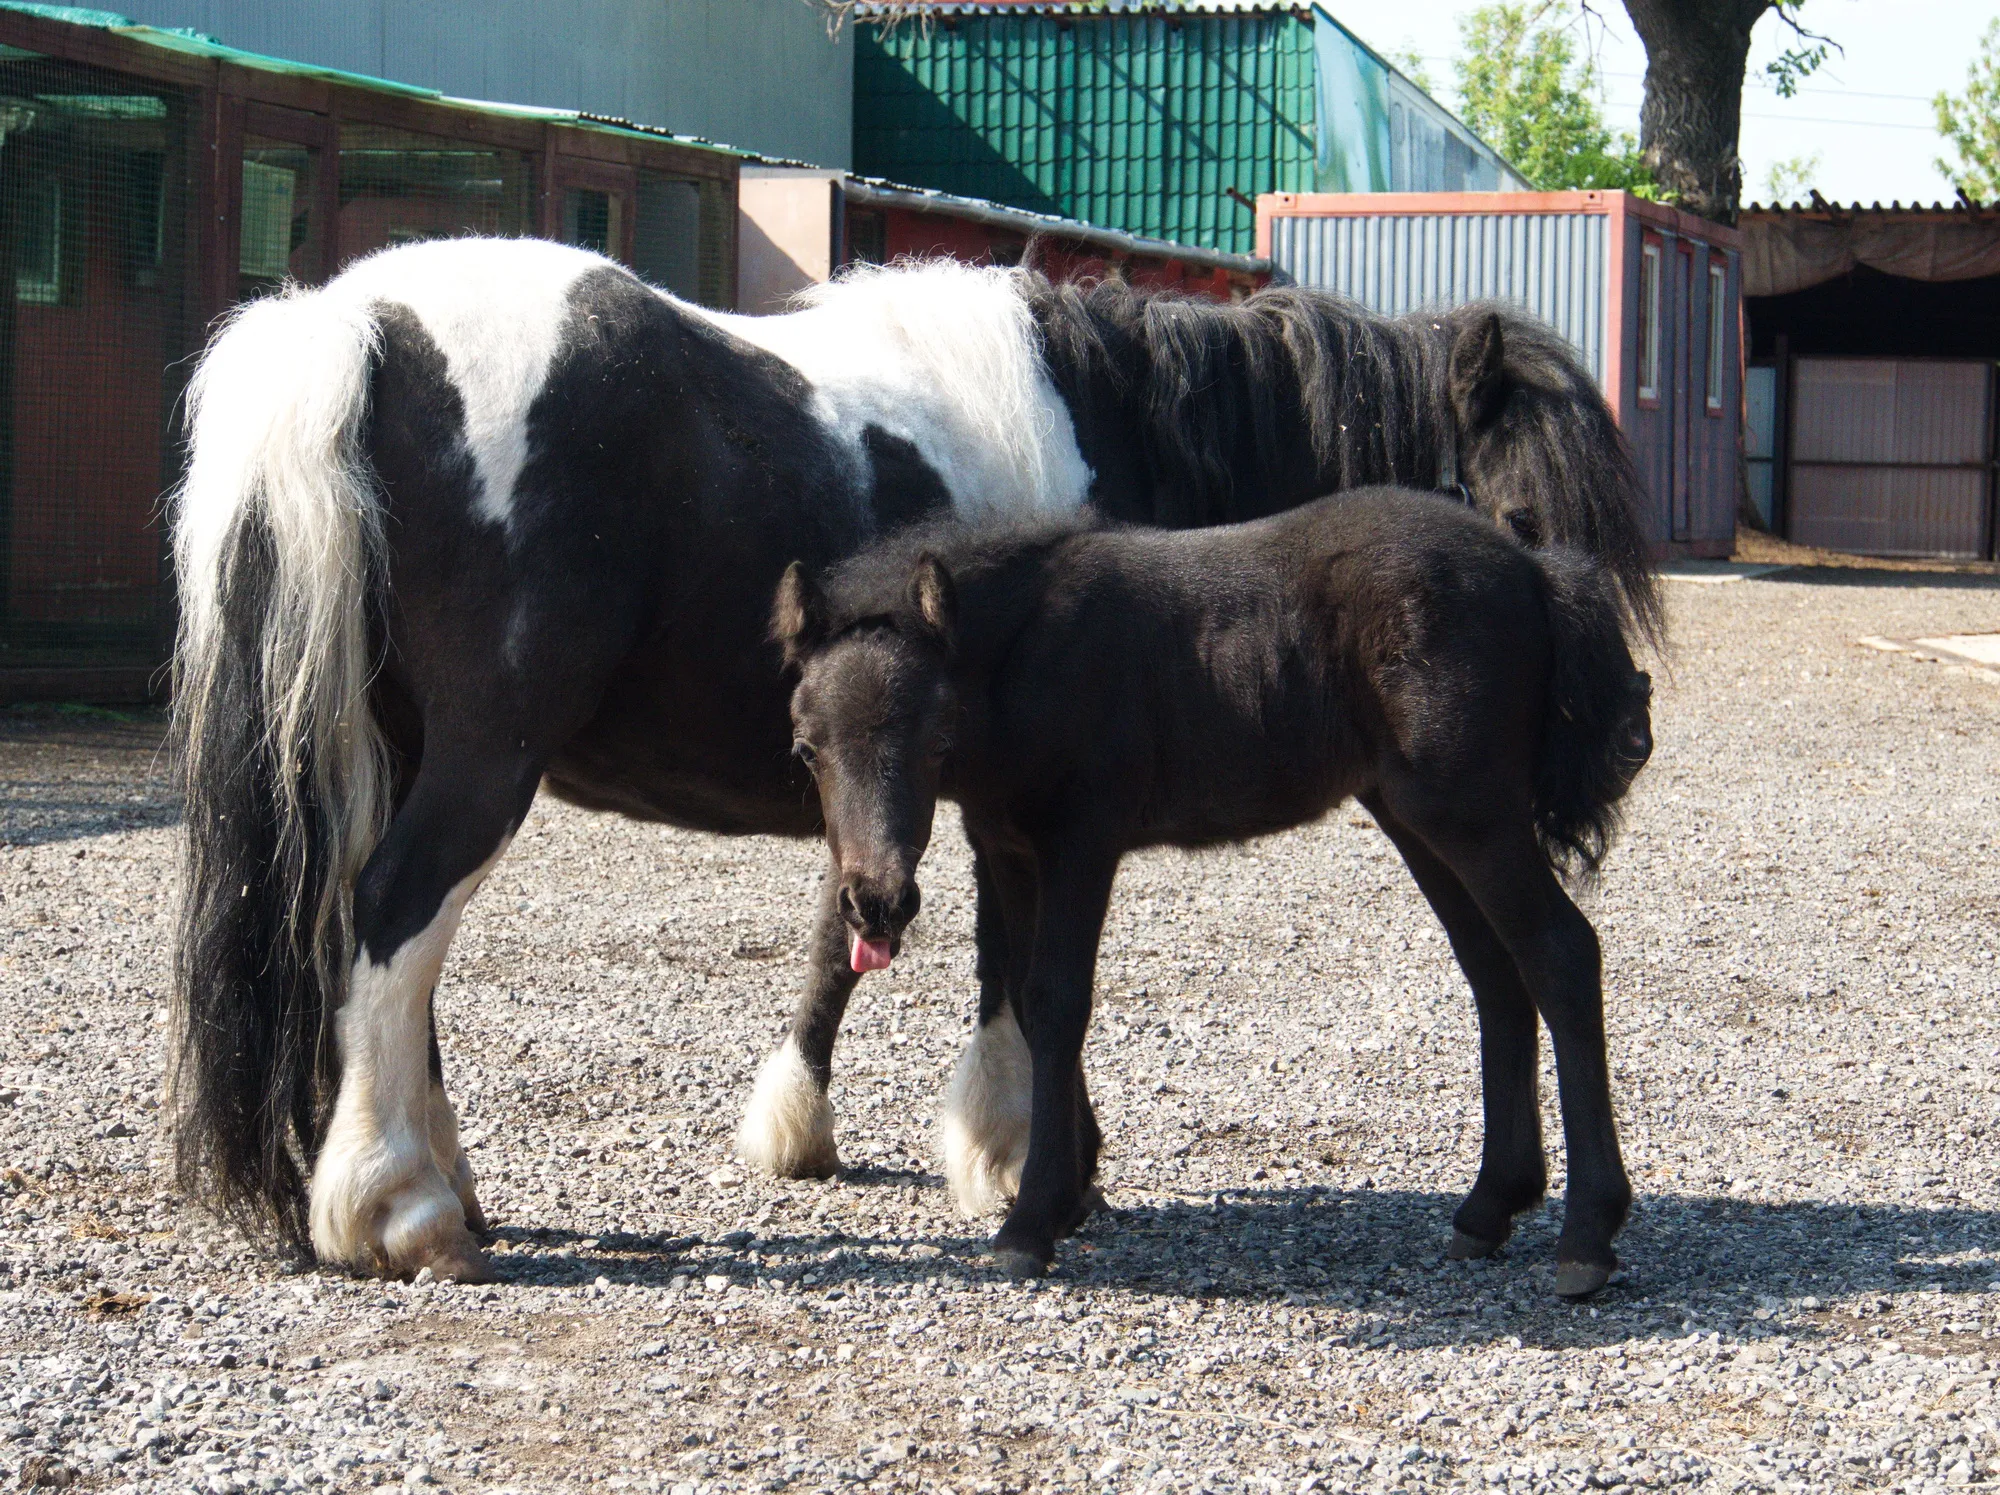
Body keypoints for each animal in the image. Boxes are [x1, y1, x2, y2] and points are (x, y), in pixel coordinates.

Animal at [776, 489, 1656, 1295]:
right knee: (1497, 974)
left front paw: (1032, 1221)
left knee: (1561, 954)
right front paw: (1067, 1196)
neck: (1030, 655)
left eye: (933, 740)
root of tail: (1531, 566)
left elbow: (1059, 1000)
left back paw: (1587, 1233)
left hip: (1474, 812)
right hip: (1421, 819)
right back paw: (1490, 1205)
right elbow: (1026, 999)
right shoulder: (1006, 846)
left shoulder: (1080, 841)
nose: (876, 901)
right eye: (806, 748)